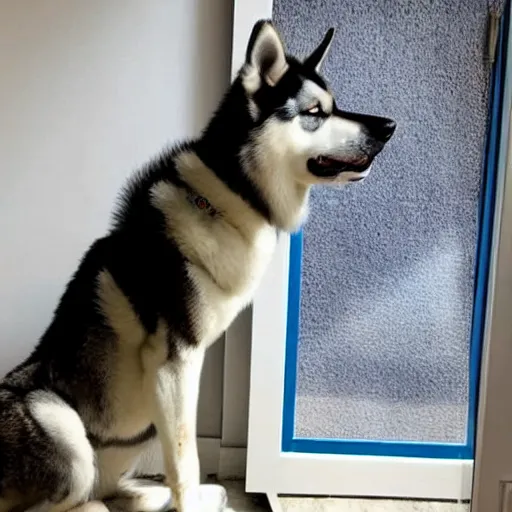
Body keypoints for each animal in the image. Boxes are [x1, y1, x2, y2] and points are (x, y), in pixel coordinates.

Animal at [0, 19, 396, 512]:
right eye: (314, 113)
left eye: (335, 105)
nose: (389, 126)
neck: (234, 192)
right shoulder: (175, 361)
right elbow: (185, 458)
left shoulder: (181, 373)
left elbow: (183, 458)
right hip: (63, 429)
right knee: (69, 501)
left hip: (132, 433)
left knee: (116, 492)